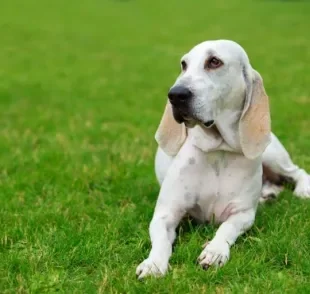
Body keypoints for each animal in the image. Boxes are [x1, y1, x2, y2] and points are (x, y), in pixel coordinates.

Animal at [136, 40, 310, 280]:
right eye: (184, 64)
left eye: (214, 61)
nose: (176, 94)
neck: (219, 150)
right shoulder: (166, 214)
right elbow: (161, 241)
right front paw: (153, 264)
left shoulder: (243, 214)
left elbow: (226, 228)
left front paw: (215, 251)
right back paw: (268, 194)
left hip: (272, 155)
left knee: (297, 172)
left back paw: (301, 190)